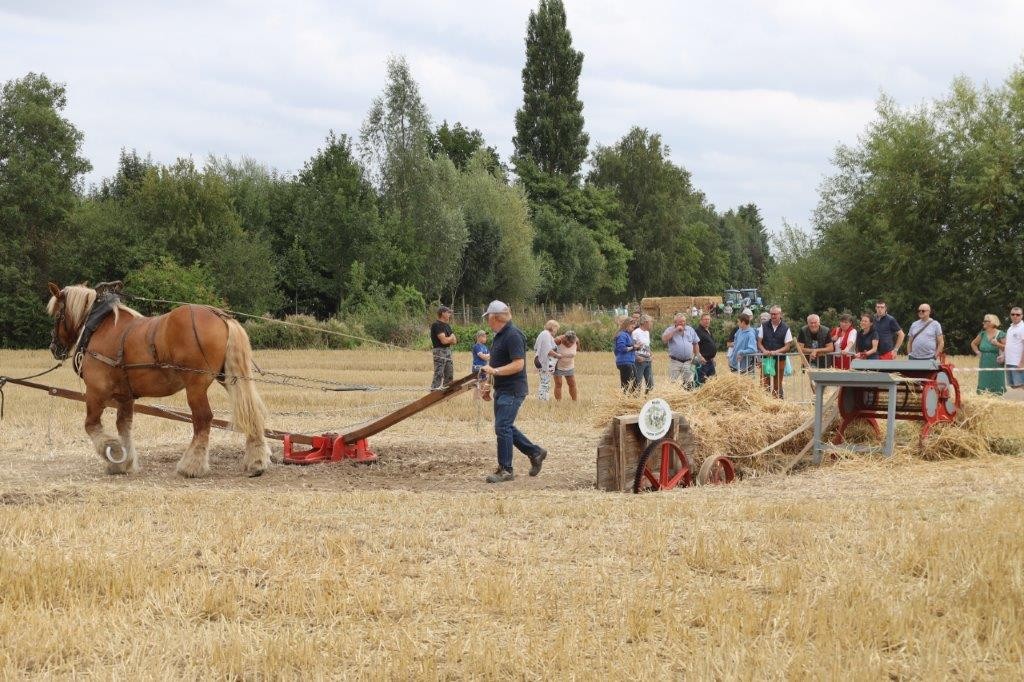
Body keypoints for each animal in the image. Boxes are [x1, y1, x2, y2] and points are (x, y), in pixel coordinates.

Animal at [45, 278, 272, 475]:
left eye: (57, 316)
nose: (54, 347)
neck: (99, 326)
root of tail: (219, 315)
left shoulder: (95, 391)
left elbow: (91, 425)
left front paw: (114, 452)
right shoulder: (125, 396)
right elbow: (124, 426)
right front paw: (125, 463)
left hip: (196, 386)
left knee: (203, 418)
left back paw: (191, 465)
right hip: (229, 378)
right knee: (251, 411)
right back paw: (256, 461)